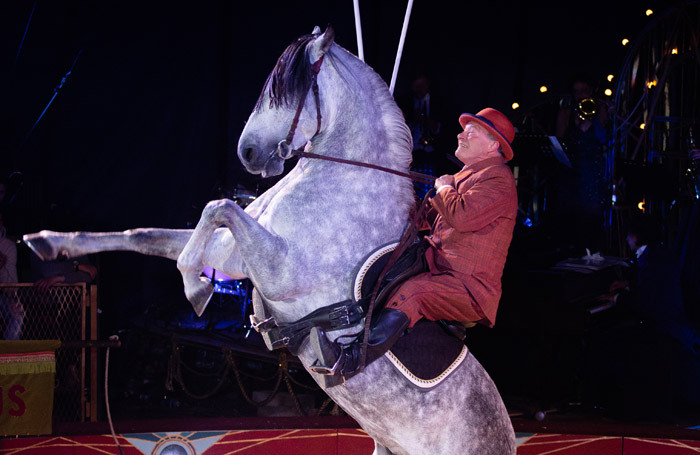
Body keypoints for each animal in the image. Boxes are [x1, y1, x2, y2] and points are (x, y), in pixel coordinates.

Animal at [23, 27, 516, 455]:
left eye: (286, 90)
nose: (248, 153)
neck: (341, 181)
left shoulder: (281, 272)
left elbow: (218, 206)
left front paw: (195, 288)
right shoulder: (237, 254)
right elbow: (150, 233)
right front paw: (47, 241)